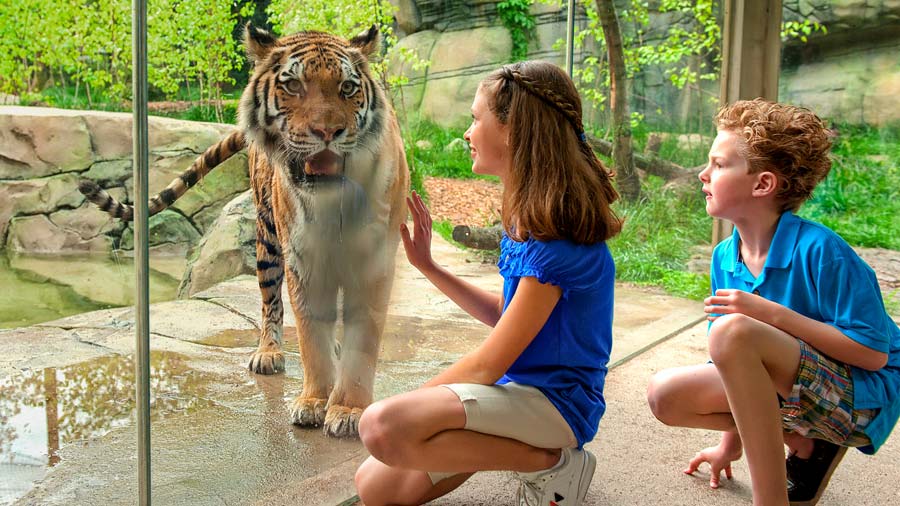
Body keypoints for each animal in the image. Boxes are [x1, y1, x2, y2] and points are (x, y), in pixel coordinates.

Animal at [79, 21, 410, 436]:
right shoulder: (303, 259)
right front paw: (315, 401)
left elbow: (362, 340)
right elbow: (311, 337)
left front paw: (349, 409)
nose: (327, 132)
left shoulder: (374, 261)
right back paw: (268, 353)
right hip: (267, 242)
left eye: (347, 88)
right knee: (271, 303)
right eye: (293, 85)